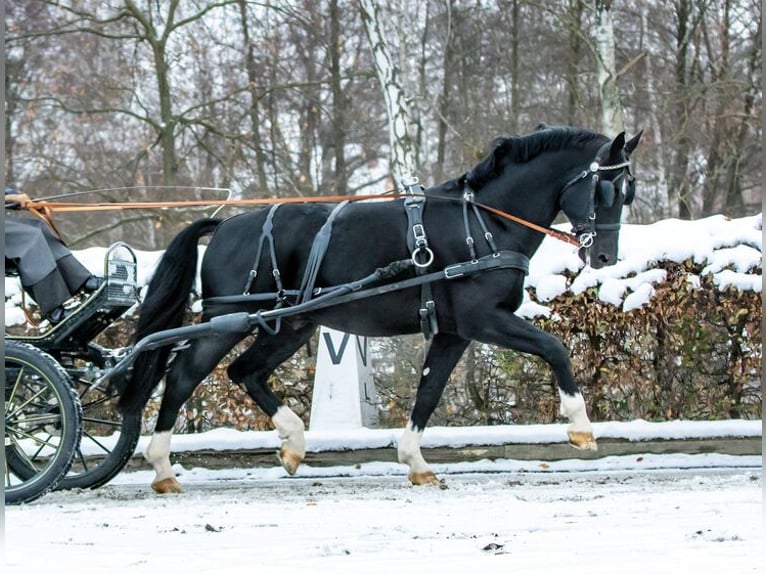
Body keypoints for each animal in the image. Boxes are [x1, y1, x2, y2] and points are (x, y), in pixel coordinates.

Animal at [113, 125, 642, 493]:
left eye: (627, 191)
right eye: (607, 190)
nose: (604, 257)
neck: (484, 224)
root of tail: (223, 226)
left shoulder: (453, 331)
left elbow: (428, 392)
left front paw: (415, 462)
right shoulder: (484, 319)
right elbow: (554, 348)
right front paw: (580, 427)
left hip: (290, 325)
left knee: (245, 372)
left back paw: (292, 443)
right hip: (226, 322)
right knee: (183, 377)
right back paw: (161, 466)